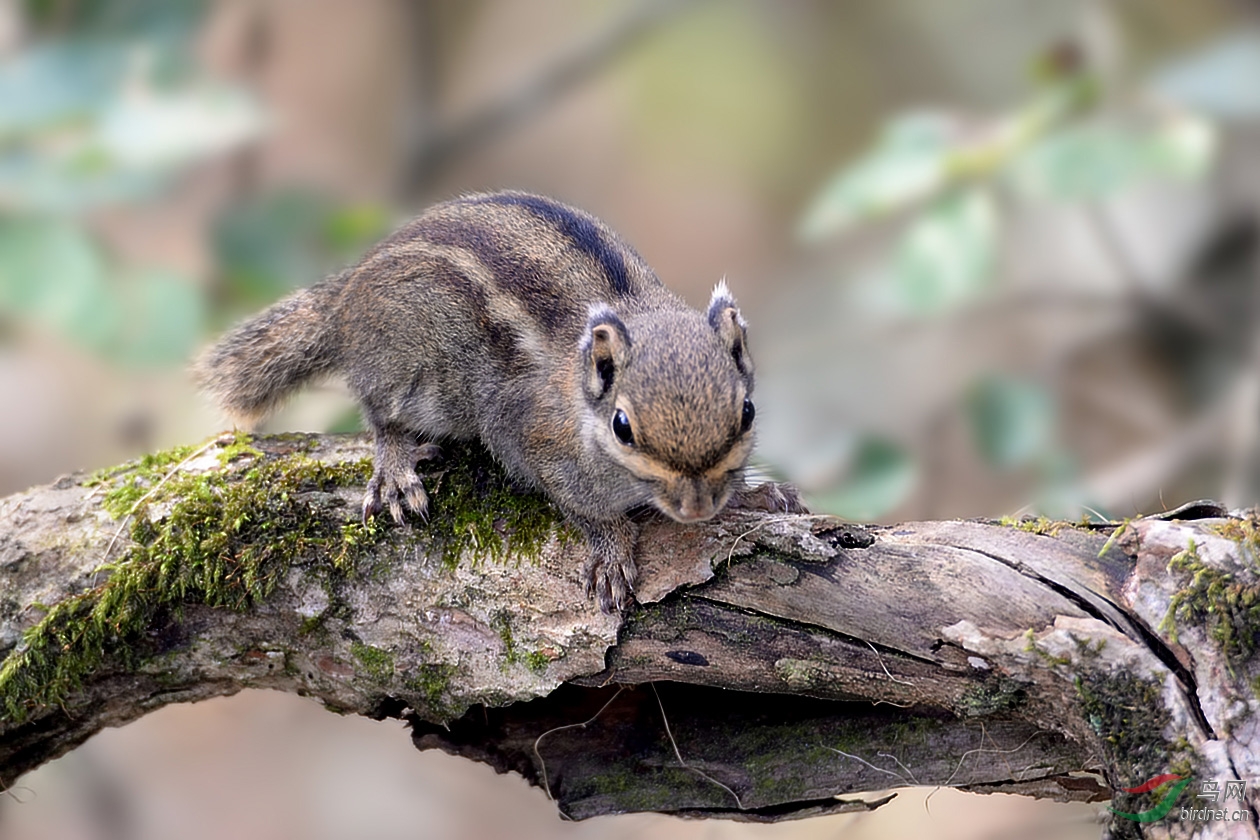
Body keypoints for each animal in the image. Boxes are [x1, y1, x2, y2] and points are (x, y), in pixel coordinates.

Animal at [191, 188, 750, 612]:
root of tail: (345, 297)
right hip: (407, 372)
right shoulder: (536, 443)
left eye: (746, 412)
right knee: (381, 415)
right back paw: (394, 467)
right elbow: (578, 505)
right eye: (622, 427)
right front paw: (611, 549)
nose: (698, 508)